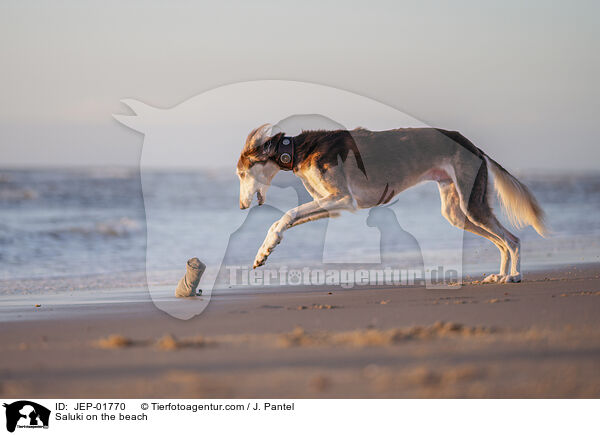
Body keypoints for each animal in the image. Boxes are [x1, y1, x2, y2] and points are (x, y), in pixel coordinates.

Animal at [237, 124, 548, 284]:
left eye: (241, 173)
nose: (240, 207)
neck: (297, 150)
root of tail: (474, 147)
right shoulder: (331, 204)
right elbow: (281, 221)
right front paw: (263, 252)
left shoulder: (343, 198)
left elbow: (287, 214)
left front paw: (266, 248)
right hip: (457, 212)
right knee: (501, 242)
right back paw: (501, 274)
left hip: (472, 204)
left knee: (513, 240)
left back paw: (515, 275)